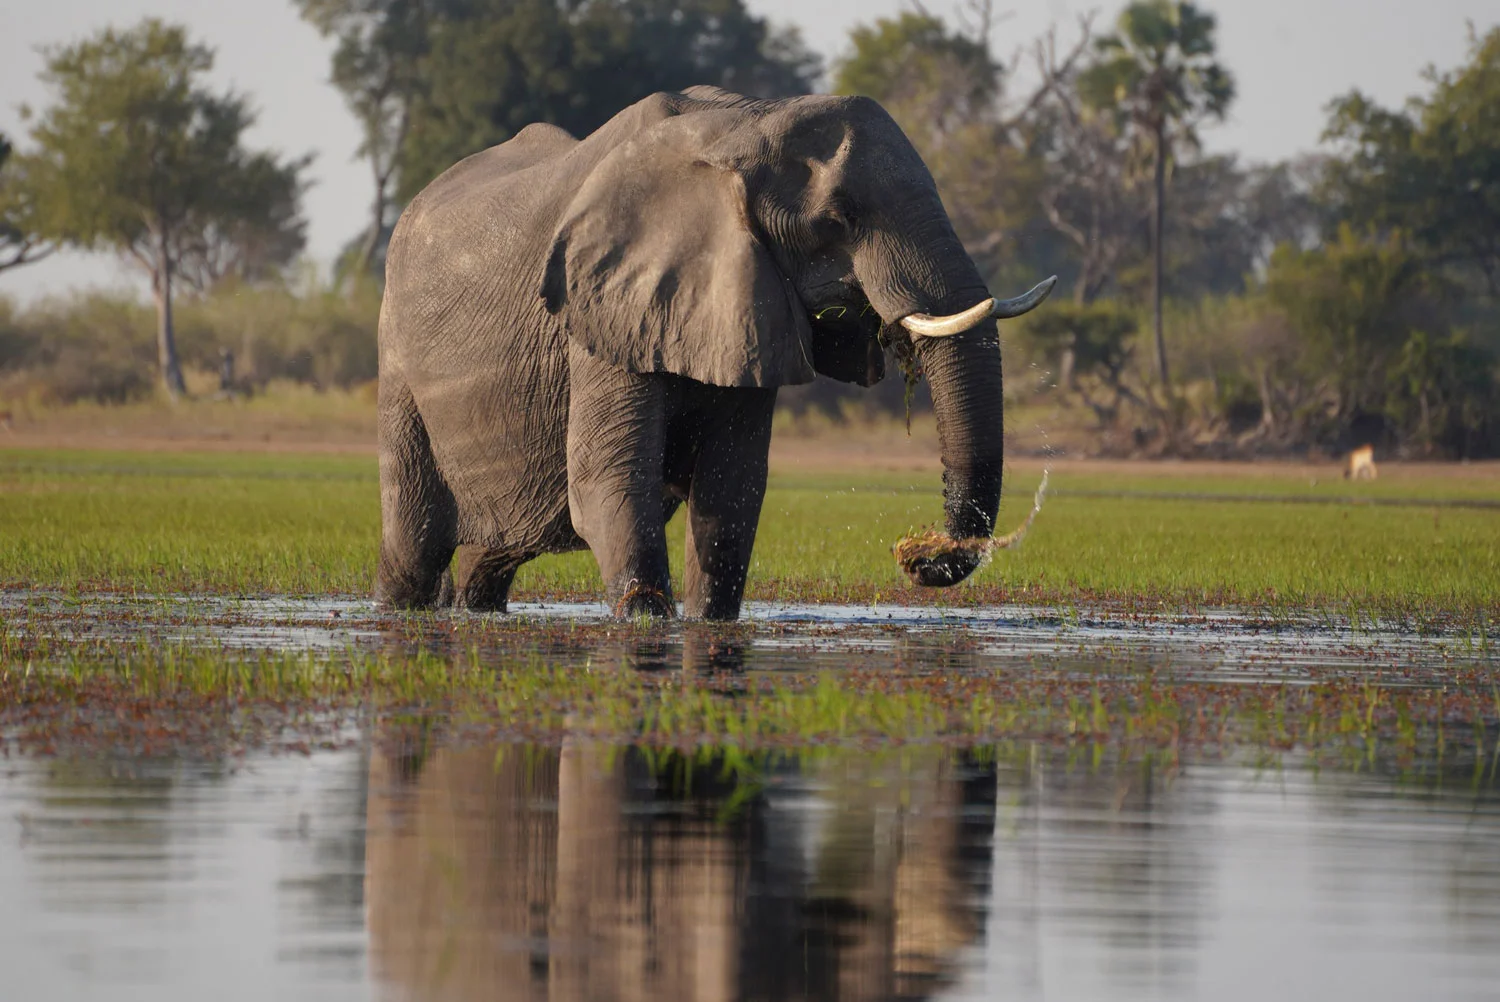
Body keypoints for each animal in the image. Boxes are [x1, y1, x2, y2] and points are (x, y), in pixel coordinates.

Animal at [377, 85, 1056, 620]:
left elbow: (731, 493)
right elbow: (608, 484)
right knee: (414, 547)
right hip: (396, 361)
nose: (916, 557)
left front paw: (709, 623)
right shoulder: (598, 310)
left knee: (490, 556)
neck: (745, 123)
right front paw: (645, 622)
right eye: (837, 220)